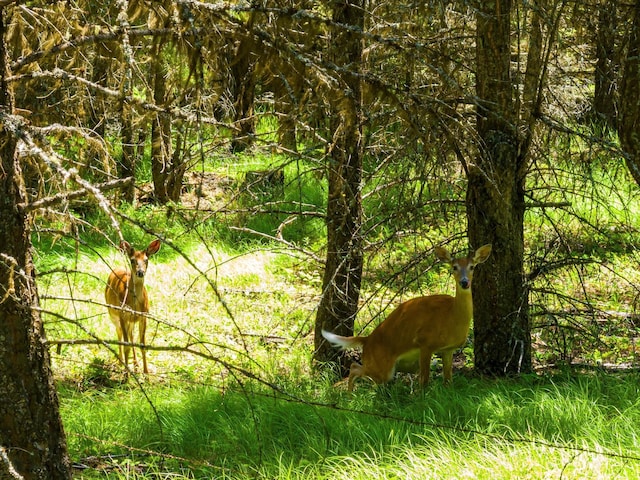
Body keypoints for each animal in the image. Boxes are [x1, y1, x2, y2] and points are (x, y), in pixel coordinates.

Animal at [104, 240, 161, 376]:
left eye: (146, 259)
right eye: (132, 260)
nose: (140, 272)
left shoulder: (143, 317)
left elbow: (142, 344)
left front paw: (146, 374)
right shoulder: (123, 315)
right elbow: (126, 345)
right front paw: (127, 375)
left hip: (131, 320)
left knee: (131, 336)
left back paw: (136, 364)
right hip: (113, 314)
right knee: (119, 334)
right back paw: (121, 362)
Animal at [322, 244, 492, 390]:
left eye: (472, 266)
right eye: (454, 267)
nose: (464, 282)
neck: (452, 317)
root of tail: (366, 340)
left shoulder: (448, 349)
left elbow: (448, 380)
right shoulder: (425, 341)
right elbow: (424, 381)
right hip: (382, 367)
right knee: (354, 368)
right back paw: (349, 395)